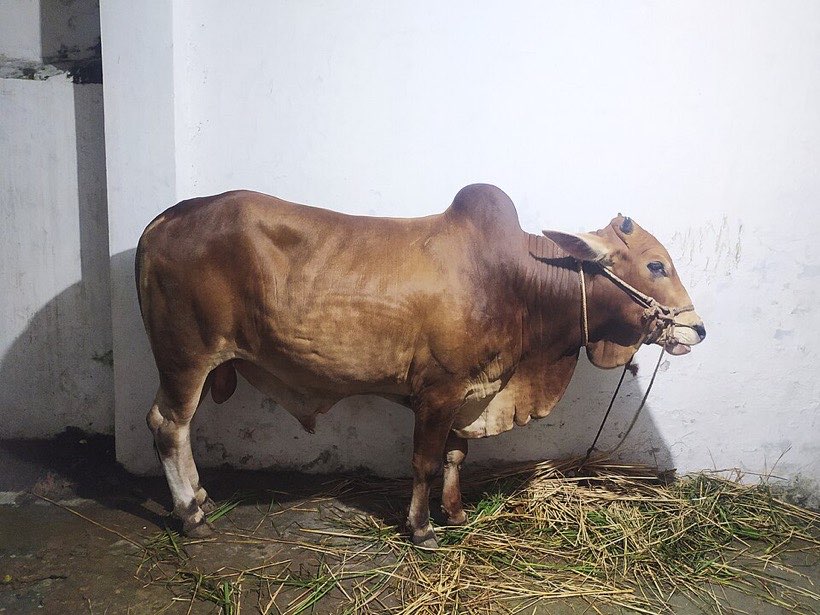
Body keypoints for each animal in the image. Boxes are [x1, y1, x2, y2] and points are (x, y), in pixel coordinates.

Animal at [136, 183, 705, 547]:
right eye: (655, 265)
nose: (696, 329)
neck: (518, 282)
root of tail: (164, 219)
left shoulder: (471, 391)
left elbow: (456, 455)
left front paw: (454, 513)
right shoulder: (438, 392)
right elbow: (426, 461)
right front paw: (423, 528)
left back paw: (201, 497)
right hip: (185, 357)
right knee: (169, 425)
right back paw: (191, 515)